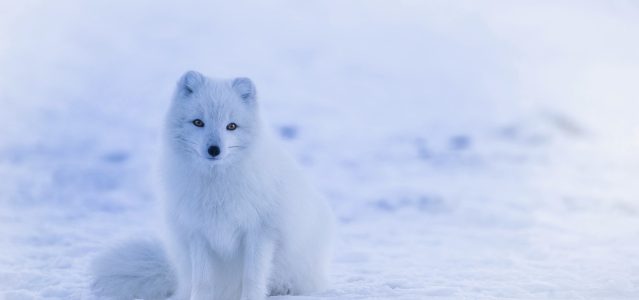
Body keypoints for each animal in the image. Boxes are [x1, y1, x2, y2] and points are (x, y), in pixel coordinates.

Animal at [93, 71, 340, 298]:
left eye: (231, 126)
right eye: (198, 122)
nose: (214, 150)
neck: (216, 186)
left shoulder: (260, 232)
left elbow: (252, 278)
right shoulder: (198, 233)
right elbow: (203, 281)